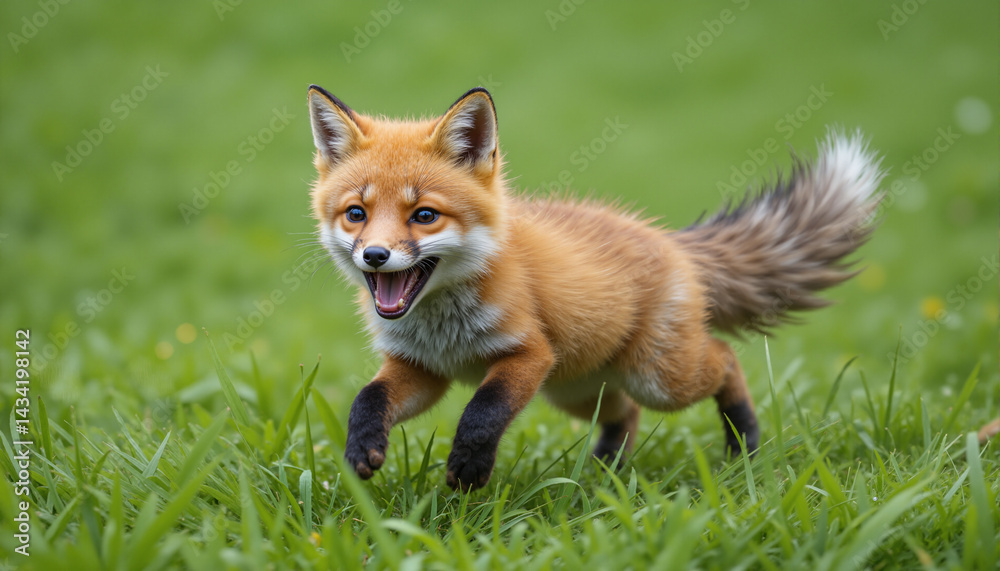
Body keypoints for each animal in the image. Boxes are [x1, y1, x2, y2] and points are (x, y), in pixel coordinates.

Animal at [306, 85, 884, 491]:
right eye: (356, 214)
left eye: (424, 215)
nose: (375, 256)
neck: (443, 326)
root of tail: (668, 239)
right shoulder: (422, 368)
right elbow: (368, 398)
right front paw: (361, 450)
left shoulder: (528, 354)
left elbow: (483, 412)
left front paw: (470, 467)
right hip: (578, 391)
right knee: (625, 415)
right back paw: (604, 475)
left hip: (657, 378)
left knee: (724, 359)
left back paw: (742, 441)